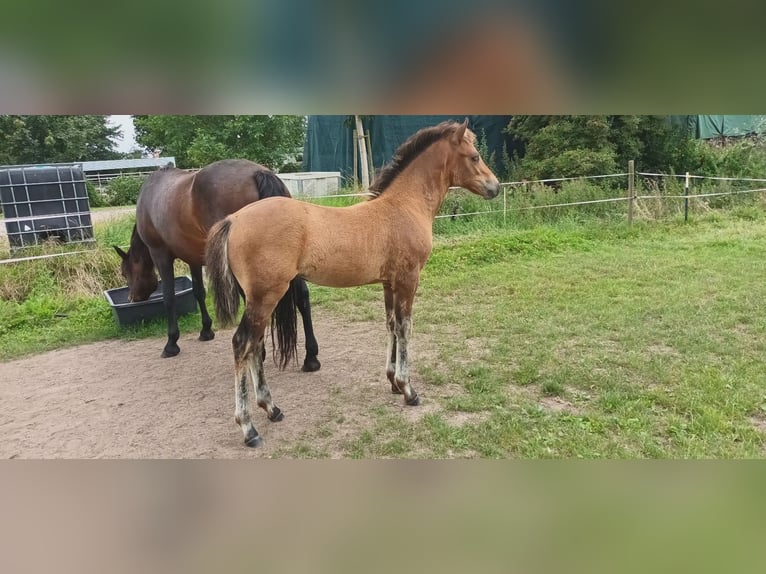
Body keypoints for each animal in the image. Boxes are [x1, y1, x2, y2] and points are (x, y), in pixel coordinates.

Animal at [113, 160, 320, 372]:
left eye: (125, 272)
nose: (132, 298)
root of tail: (257, 173)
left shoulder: (160, 255)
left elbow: (169, 298)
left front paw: (171, 343)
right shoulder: (194, 258)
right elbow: (198, 292)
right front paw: (206, 330)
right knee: (301, 296)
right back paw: (310, 357)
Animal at [207, 119, 500, 448]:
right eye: (474, 156)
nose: (495, 186)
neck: (404, 206)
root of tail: (234, 219)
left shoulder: (389, 283)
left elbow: (390, 325)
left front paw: (393, 381)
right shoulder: (408, 279)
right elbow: (405, 327)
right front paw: (408, 389)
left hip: (259, 298)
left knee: (255, 346)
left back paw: (272, 409)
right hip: (266, 295)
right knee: (242, 344)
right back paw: (249, 428)